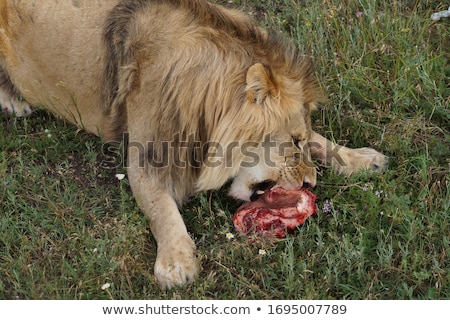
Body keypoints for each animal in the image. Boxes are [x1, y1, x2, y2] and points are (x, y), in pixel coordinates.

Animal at [0, 0, 386, 288]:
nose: (311, 183)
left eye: (300, 140)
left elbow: (324, 140)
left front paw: (360, 159)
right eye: (291, 142)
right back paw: (15, 101)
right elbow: (161, 210)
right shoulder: (147, 157)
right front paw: (176, 262)